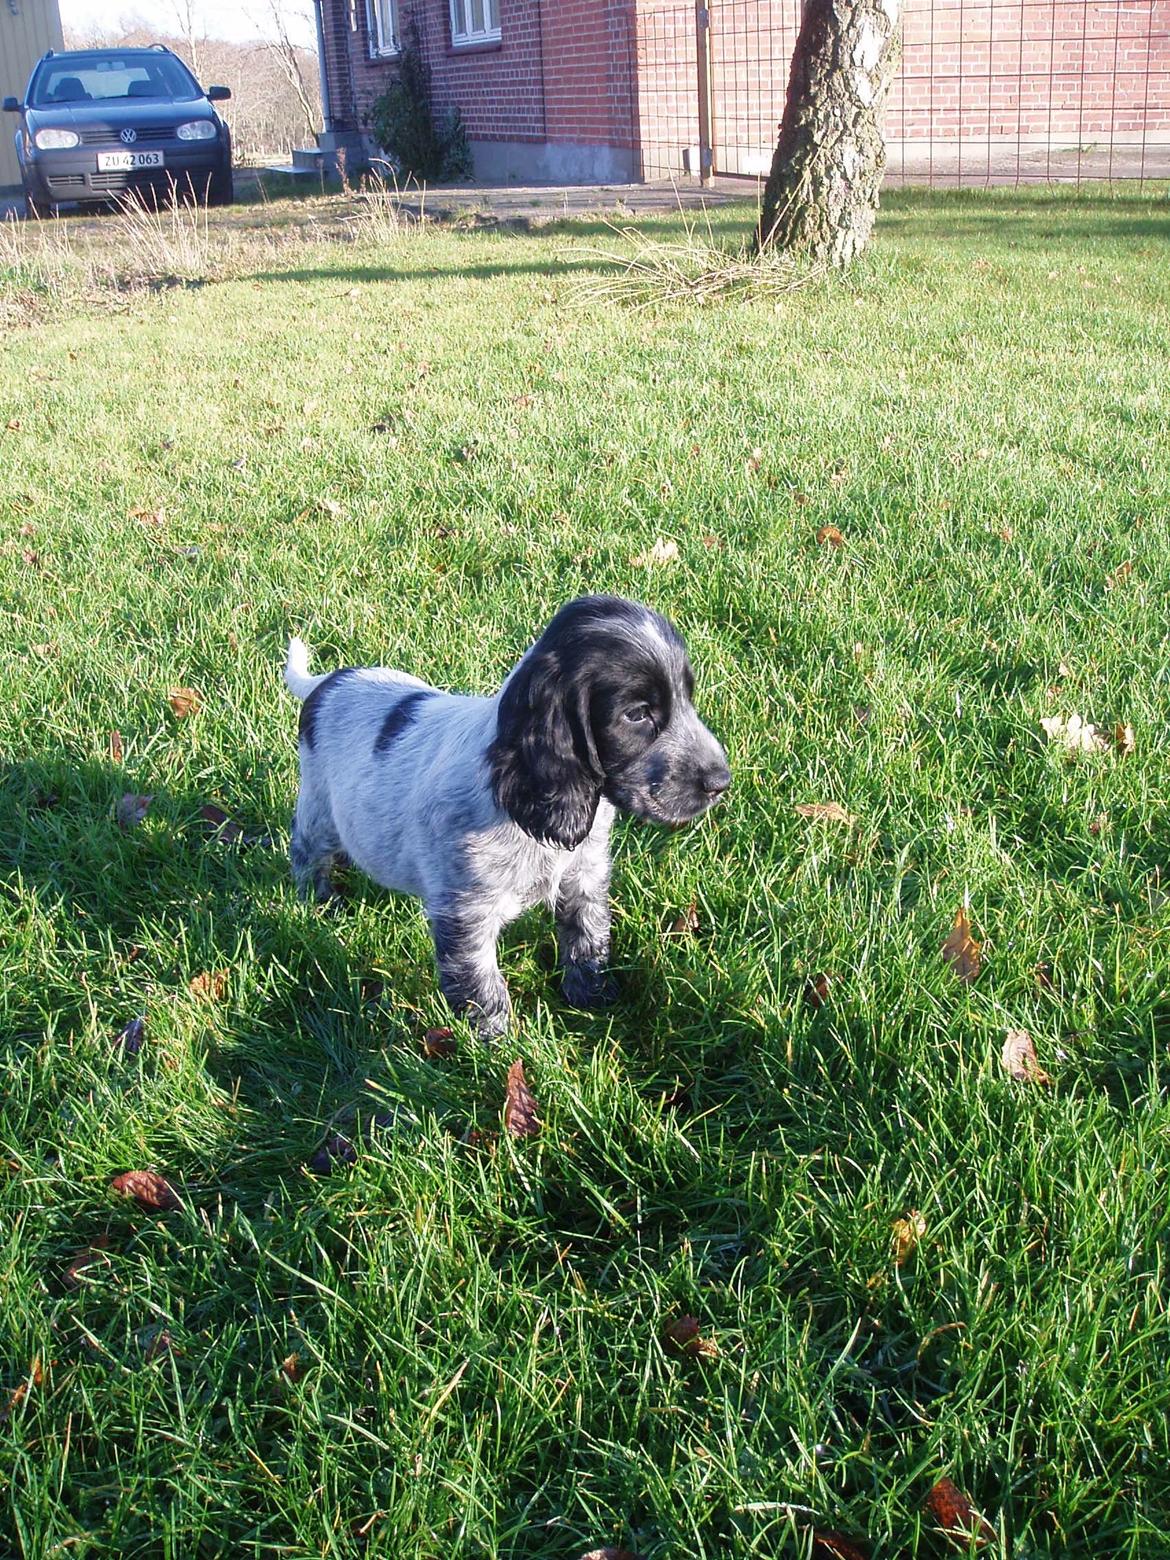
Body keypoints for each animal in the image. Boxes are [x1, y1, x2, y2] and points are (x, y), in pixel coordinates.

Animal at [287, 595, 730, 1035]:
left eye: (687, 699)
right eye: (636, 714)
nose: (721, 781)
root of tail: (325, 684)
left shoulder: (584, 874)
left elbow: (588, 935)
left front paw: (595, 998)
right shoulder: (466, 909)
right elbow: (480, 982)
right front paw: (496, 1040)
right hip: (319, 810)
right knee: (307, 854)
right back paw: (320, 903)